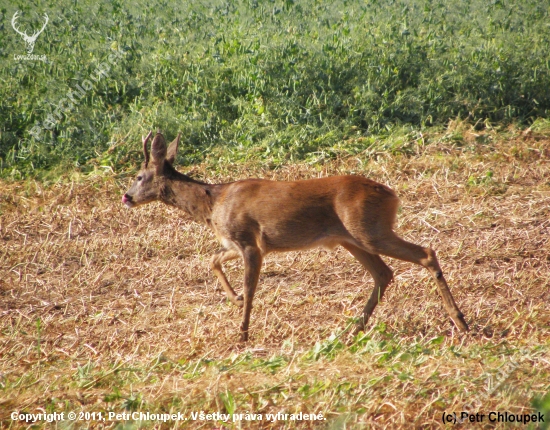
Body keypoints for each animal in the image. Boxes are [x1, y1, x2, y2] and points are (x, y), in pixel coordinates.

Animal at [124, 133, 470, 340]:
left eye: (139, 176)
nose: (126, 197)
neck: (214, 202)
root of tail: (392, 195)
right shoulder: (238, 242)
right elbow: (213, 260)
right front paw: (234, 300)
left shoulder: (250, 241)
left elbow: (251, 288)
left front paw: (242, 332)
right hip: (351, 239)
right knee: (384, 273)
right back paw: (354, 327)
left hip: (369, 230)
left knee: (425, 253)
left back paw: (460, 320)